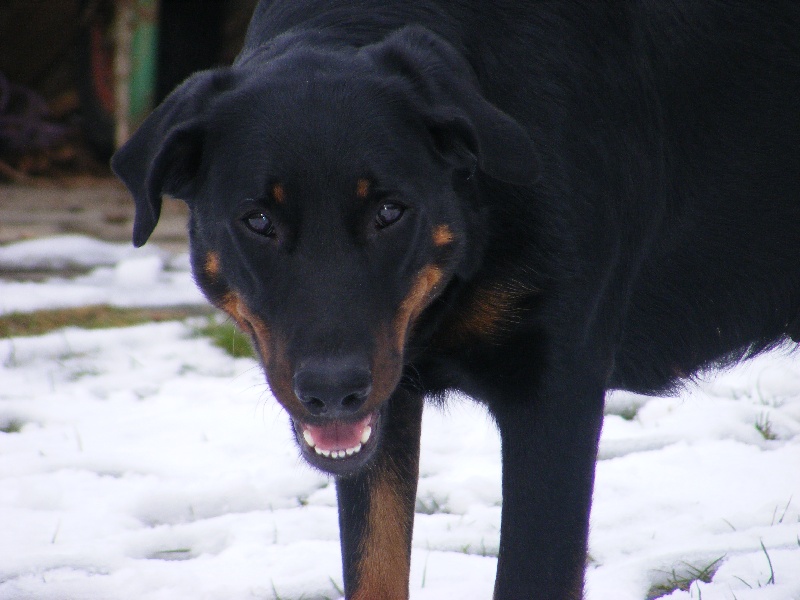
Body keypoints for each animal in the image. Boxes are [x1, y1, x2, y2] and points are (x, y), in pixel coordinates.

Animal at [111, 2, 800, 596]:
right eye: (257, 220)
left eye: (391, 211)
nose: (332, 390)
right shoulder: (387, 402)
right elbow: (374, 571)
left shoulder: (555, 391)